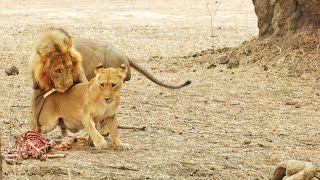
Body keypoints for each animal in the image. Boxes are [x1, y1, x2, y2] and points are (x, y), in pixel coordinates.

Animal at [29, 27, 190, 132]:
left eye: (70, 66)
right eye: (58, 70)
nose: (68, 84)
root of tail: (124, 55)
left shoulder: (82, 81)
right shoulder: (37, 92)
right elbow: (34, 113)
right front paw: (32, 134)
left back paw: (104, 131)